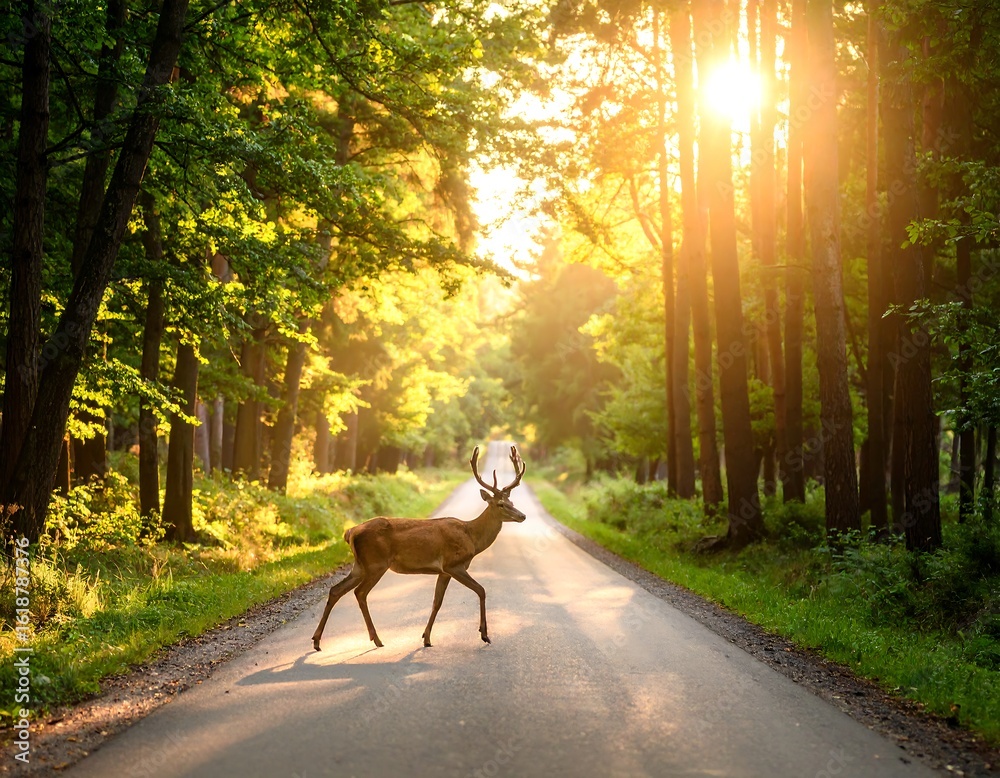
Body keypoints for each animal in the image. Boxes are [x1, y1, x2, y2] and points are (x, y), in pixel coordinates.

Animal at [311, 445, 527, 651]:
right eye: (500, 504)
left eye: (512, 501)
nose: (522, 515)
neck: (471, 538)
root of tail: (351, 532)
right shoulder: (453, 564)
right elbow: (481, 590)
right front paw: (484, 635)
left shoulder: (444, 571)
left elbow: (437, 602)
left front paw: (426, 638)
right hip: (375, 563)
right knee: (360, 593)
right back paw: (376, 639)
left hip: (360, 565)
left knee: (336, 590)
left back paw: (317, 641)